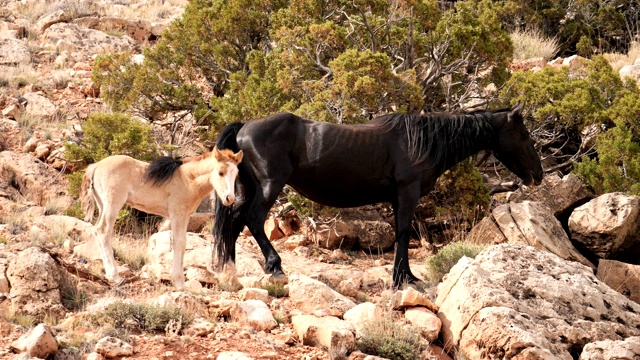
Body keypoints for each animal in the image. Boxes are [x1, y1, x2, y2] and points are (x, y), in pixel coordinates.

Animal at [80, 147, 240, 290]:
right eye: (220, 172)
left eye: (236, 174)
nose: (229, 198)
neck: (188, 180)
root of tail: (96, 165)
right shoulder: (178, 214)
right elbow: (179, 243)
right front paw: (179, 283)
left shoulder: (185, 217)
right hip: (113, 203)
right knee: (103, 231)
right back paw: (115, 276)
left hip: (102, 205)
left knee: (97, 231)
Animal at [212, 104, 544, 286]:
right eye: (523, 134)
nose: (538, 174)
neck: (422, 141)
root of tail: (245, 126)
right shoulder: (408, 193)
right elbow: (403, 233)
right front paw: (402, 279)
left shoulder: (398, 198)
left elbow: (401, 233)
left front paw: (405, 276)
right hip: (270, 185)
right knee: (253, 220)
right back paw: (275, 267)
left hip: (248, 188)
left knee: (233, 222)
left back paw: (229, 268)